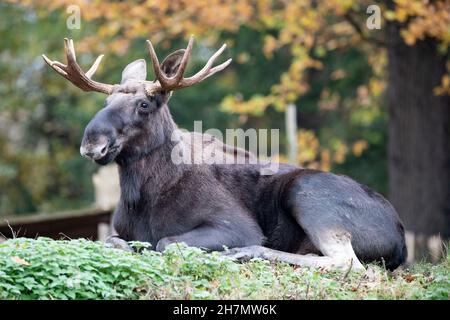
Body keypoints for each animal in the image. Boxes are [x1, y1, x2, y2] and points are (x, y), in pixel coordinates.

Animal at [43, 37, 408, 270]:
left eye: (144, 104)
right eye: (106, 101)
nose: (92, 142)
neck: (142, 196)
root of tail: (402, 240)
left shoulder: (235, 225)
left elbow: (165, 242)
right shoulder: (120, 231)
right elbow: (113, 241)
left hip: (308, 194)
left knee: (349, 263)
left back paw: (240, 254)